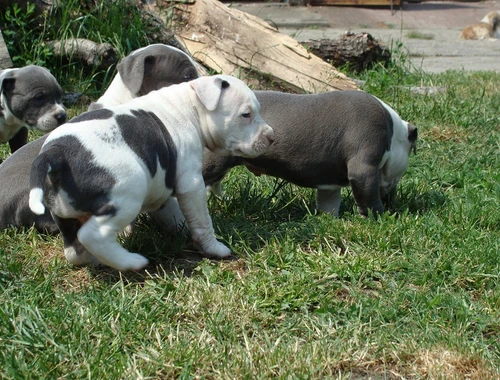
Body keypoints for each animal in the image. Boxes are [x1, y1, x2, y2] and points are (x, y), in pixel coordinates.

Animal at [29, 75, 276, 270]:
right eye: (246, 114)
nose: (271, 136)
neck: (190, 106)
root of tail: (55, 152)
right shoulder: (191, 184)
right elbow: (202, 221)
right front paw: (213, 248)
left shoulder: (162, 184)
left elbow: (173, 212)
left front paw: (179, 228)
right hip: (127, 193)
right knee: (94, 235)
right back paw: (131, 262)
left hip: (62, 214)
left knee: (74, 251)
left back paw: (99, 261)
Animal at [201, 90, 416, 217]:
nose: (392, 202)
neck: (394, 132)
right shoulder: (364, 168)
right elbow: (369, 199)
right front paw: (381, 217)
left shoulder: (329, 185)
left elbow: (329, 204)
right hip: (212, 163)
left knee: (214, 185)